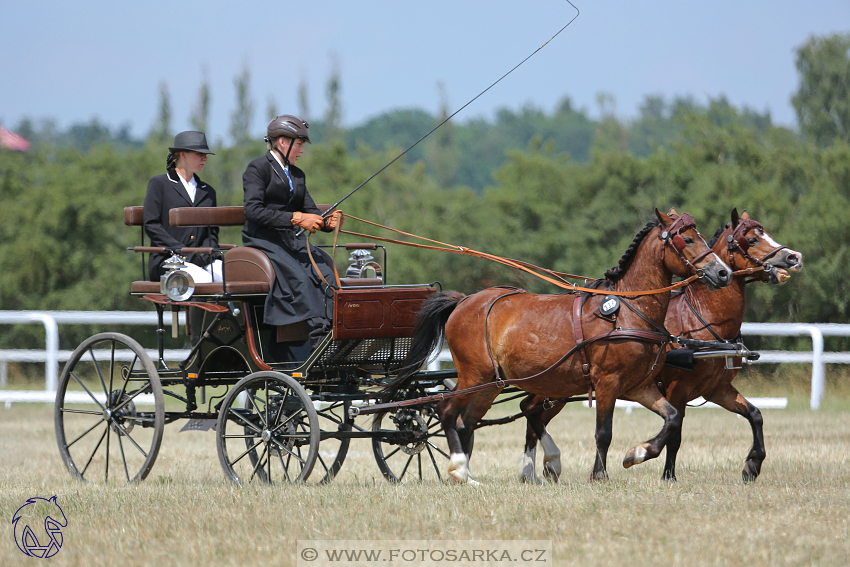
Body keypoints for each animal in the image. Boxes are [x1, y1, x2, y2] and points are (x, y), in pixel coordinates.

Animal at [390, 209, 728, 484]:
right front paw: (600, 475)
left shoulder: (638, 386)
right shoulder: (608, 382)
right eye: (687, 239)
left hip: (492, 383)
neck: (627, 311)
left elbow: (672, 418)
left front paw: (638, 453)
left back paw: (471, 474)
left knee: (469, 421)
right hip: (475, 375)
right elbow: (603, 432)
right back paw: (460, 469)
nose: (722, 272)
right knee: (447, 411)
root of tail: (464, 301)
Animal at [516, 209, 800, 484]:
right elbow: (675, 433)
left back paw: (532, 472)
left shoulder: (717, 389)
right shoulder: (677, 389)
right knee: (530, 411)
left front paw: (752, 465)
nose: (793, 257)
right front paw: (664, 472)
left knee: (530, 414)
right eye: (751, 240)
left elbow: (755, 414)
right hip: (556, 386)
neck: (701, 317)